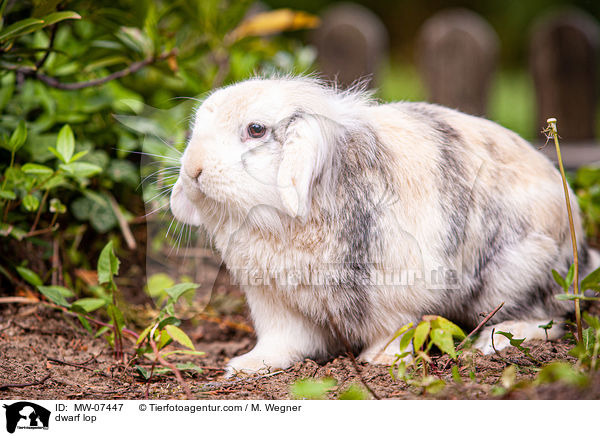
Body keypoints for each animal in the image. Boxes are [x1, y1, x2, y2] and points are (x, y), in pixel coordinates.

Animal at [168, 75, 596, 374]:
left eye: (255, 130)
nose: (193, 170)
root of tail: (578, 248)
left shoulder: (397, 292)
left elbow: (394, 330)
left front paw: (381, 360)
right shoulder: (276, 303)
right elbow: (283, 341)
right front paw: (248, 365)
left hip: (514, 274)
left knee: (543, 318)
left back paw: (494, 344)